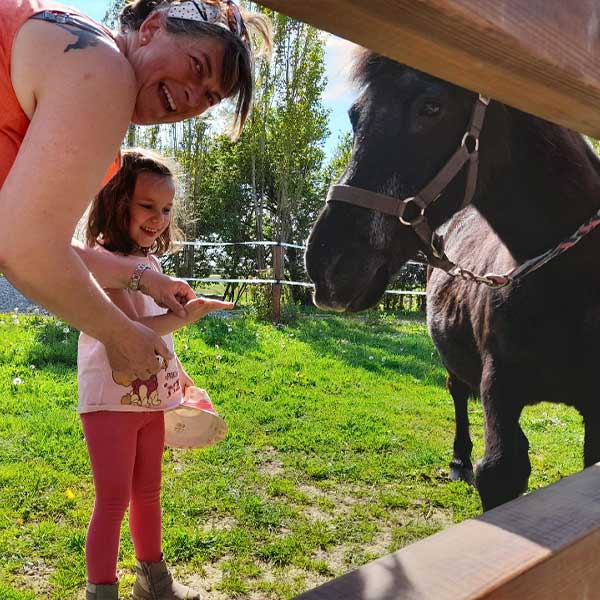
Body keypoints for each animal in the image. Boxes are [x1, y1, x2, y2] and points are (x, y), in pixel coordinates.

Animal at [308, 50, 600, 510]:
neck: (572, 285)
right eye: (355, 114)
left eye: (432, 106)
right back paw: (459, 459)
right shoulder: (499, 392)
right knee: (458, 394)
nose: (325, 262)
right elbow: (499, 469)